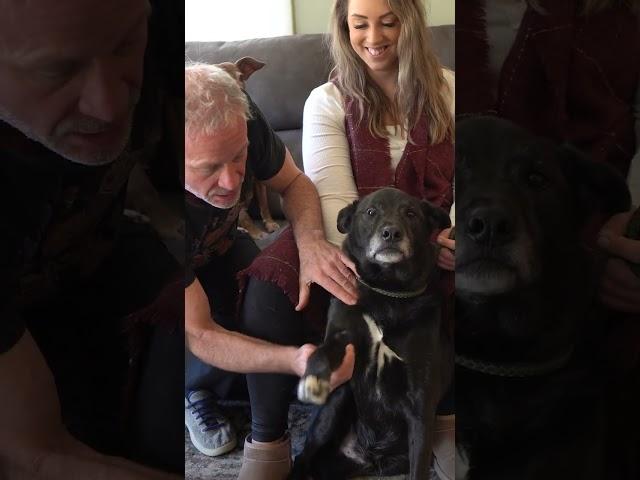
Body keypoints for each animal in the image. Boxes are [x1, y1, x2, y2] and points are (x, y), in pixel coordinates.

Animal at [218, 57, 280, 240]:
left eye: (240, 77)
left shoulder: (260, 177)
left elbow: (264, 204)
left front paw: (270, 223)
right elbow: (244, 217)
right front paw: (256, 233)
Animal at [290, 188, 450, 480]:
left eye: (411, 213)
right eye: (371, 212)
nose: (391, 233)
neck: (387, 292)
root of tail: (369, 458)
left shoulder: (421, 405)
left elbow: (419, 468)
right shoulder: (342, 338)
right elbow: (322, 352)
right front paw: (313, 379)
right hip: (335, 405)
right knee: (302, 458)